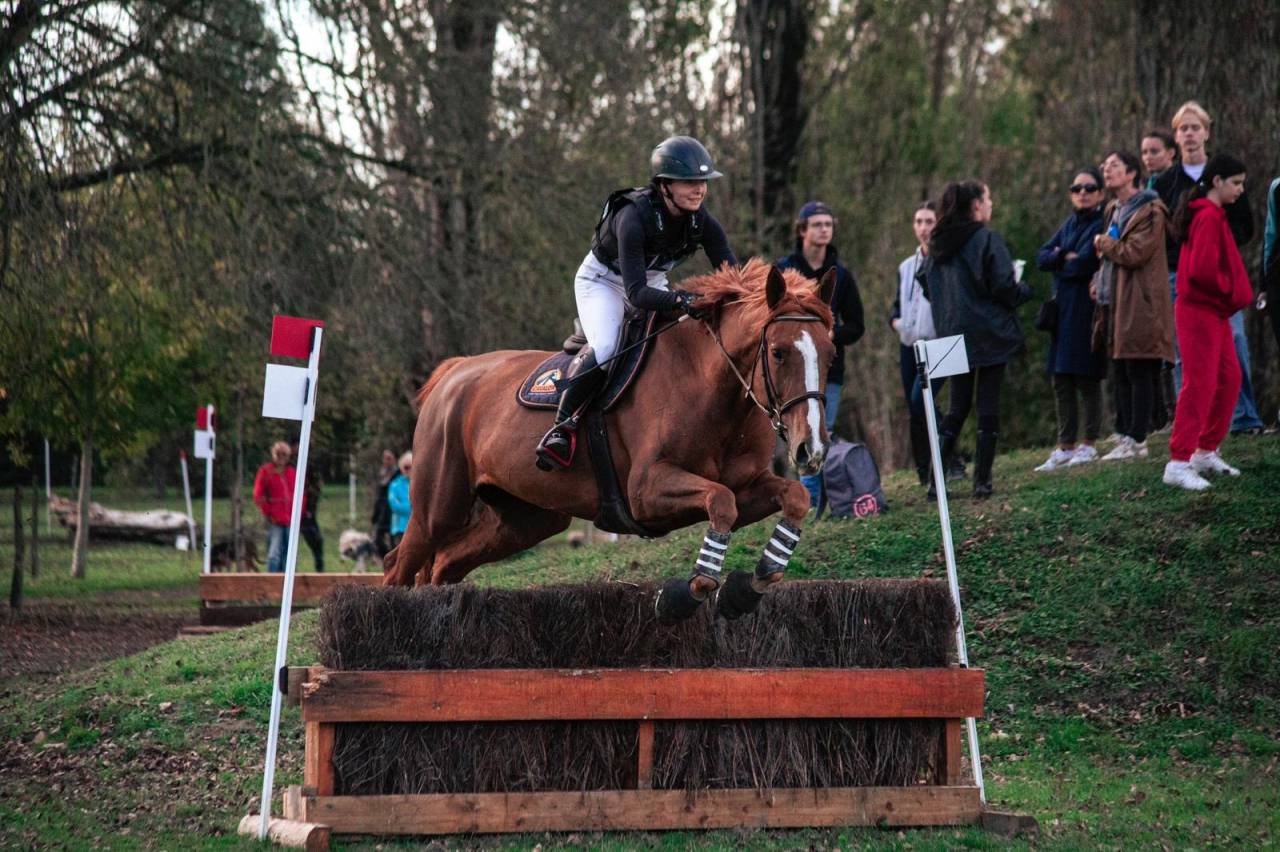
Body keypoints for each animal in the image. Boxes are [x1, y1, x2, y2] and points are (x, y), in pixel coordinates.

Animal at [382, 259, 836, 622]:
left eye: (831, 353)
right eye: (778, 353)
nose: (811, 450)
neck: (712, 386)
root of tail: (454, 373)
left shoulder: (745, 487)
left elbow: (793, 497)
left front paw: (746, 589)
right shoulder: (646, 491)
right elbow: (720, 502)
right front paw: (684, 596)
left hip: (525, 520)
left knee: (443, 565)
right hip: (437, 509)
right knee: (398, 566)